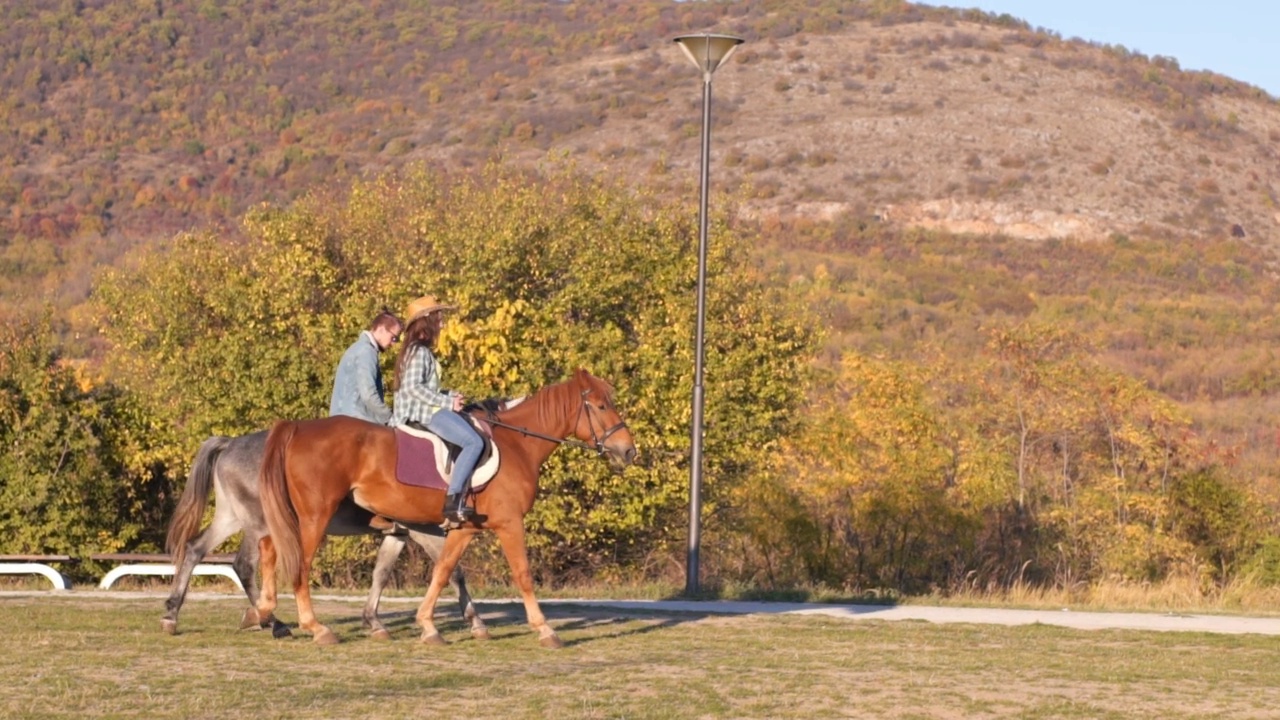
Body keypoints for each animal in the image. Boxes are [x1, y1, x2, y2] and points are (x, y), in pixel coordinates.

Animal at [161, 427, 488, 635]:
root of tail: (230, 444)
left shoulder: (398, 533)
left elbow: (381, 573)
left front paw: (373, 621)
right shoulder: (424, 530)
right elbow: (453, 571)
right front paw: (475, 621)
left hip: (230, 517)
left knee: (195, 549)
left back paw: (172, 614)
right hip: (257, 523)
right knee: (244, 565)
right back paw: (273, 622)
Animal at [256, 366, 634, 640]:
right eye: (601, 406)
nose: (628, 450)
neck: (516, 444)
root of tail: (298, 428)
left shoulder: (463, 528)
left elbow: (443, 571)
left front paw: (428, 624)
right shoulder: (509, 523)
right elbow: (522, 574)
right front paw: (544, 628)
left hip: (299, 518)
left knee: (270, 547)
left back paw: (265, 612)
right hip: (315, 517)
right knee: (300, 565)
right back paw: (314, 627)